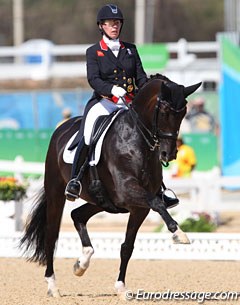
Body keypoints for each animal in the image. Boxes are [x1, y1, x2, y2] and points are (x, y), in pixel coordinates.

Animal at [20, 75, 201, 296]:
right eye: (165, 111)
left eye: (183, 113)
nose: (169, 154)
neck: (137, 140)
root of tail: (62, 128)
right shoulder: (128, 191)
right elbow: (158, 204)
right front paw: (179, 234)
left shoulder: (138, 207)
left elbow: (127, 246)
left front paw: (121, 287)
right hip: (56, 193)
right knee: (51, 235)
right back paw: (53, 286)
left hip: (103, 201)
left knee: (77, 215)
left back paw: (81, 264)